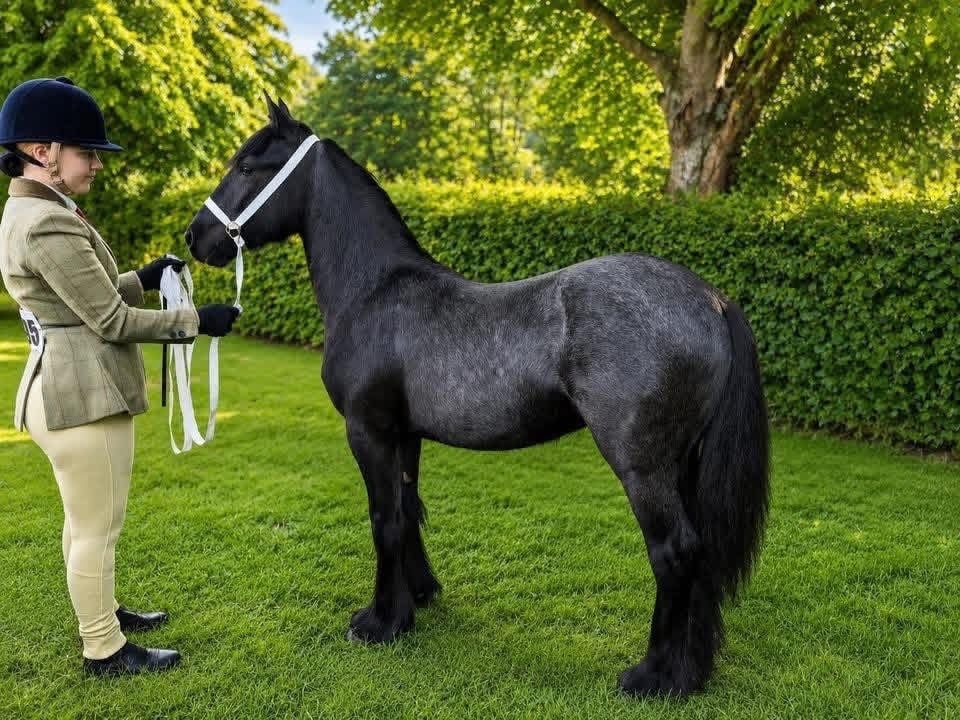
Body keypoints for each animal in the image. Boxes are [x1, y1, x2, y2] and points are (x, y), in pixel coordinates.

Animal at [184, 97, 770, 698]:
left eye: (247, 166)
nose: (194, 237)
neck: (376, 291)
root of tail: (712, 299)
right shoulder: (405, 435)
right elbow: (407, 508)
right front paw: (416, 598)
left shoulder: (369, 430)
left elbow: (383, 518)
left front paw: (379, 622)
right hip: (685, 466)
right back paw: (691, 670)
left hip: (643, 468)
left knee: (674, 552)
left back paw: (652, 676)